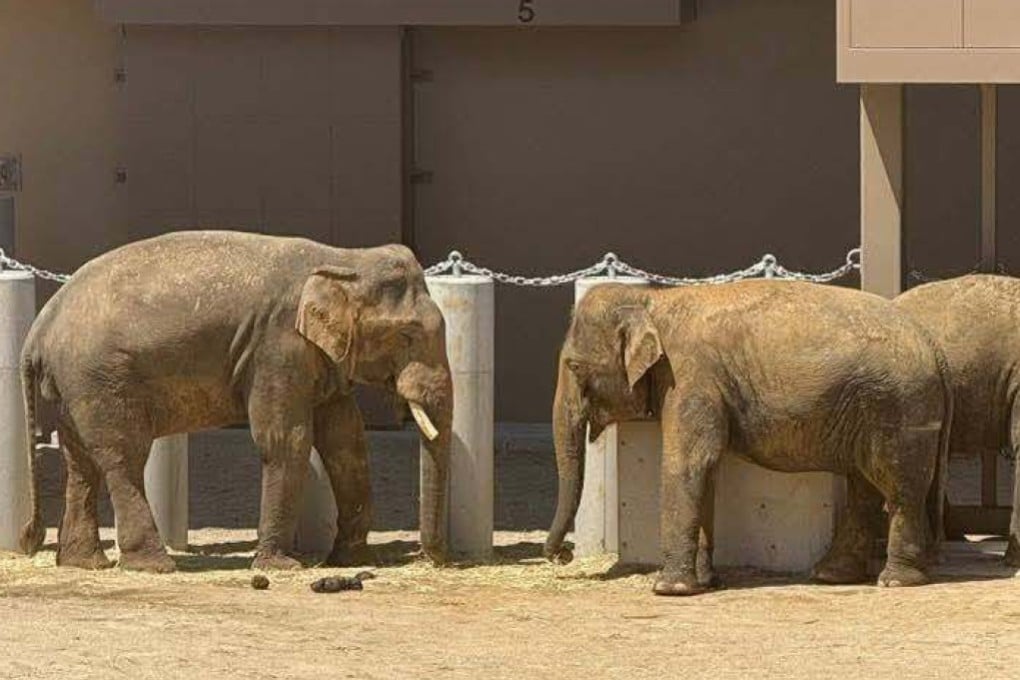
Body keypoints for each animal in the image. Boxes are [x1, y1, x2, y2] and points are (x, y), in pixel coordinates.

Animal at [18, 231, 452, 573]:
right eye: (408, 336)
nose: (432, 558)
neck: (344, 258)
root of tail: (39, 327)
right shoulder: (277, 346)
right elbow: (287, 440)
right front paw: (281, 567)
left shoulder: (319, 356)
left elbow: (346, 439)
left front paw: (351, 561)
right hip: (99, 378)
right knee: (123, 458)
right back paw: (155, 566)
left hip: (75, 386)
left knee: (80, 462)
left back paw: (84, 563)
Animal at [543, 280, 950, 595]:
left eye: (574, 366)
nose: (562, 555)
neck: (653, 301)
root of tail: (932, 344)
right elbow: (707, 468)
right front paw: (705, 583)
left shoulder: (691, 377)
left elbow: (689, 462)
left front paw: (669, 589)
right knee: (863, 488)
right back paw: (832, 576)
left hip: (901, 409)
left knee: (898, 488)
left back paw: (895, 582)